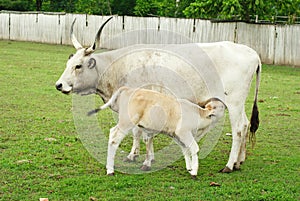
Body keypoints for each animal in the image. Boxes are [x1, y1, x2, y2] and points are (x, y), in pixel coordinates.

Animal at [89, 85, 227, 177]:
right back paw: (110, 170)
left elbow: (185, 149)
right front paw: (194, 172)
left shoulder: (177, 136)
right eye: (220, 107)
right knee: (114, 137)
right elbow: (194, 148)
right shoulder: (184, 133)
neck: (199, 115)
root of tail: (129, 89)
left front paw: (189, 168)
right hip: (126, 122)